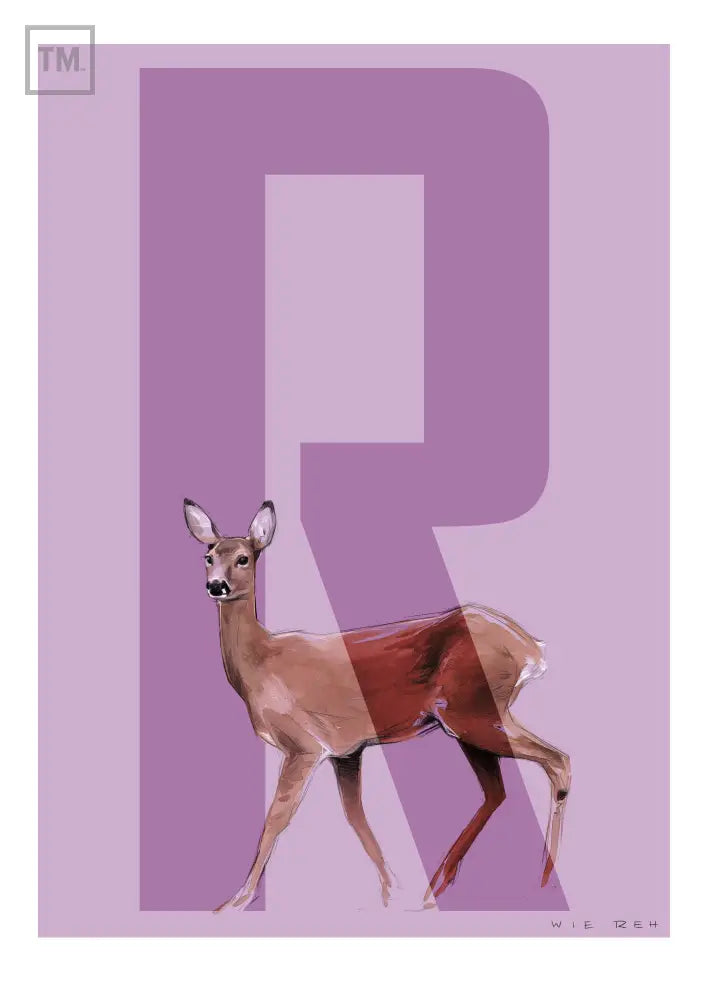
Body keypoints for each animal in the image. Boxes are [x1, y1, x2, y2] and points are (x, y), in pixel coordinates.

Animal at [183, 498, 571, 912]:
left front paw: (235, 901)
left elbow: (276, 817)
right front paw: (390, 890)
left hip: (473, 711)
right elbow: (357, 818)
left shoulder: (303, 745)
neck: (261, 664)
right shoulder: (346, 751)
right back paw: (436, 886)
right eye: (208, 556)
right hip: (470, 717)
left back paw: (542, 879)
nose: (216, 586)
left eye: (243, 558)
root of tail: (529, 647)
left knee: (557, 761)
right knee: (497, 791)